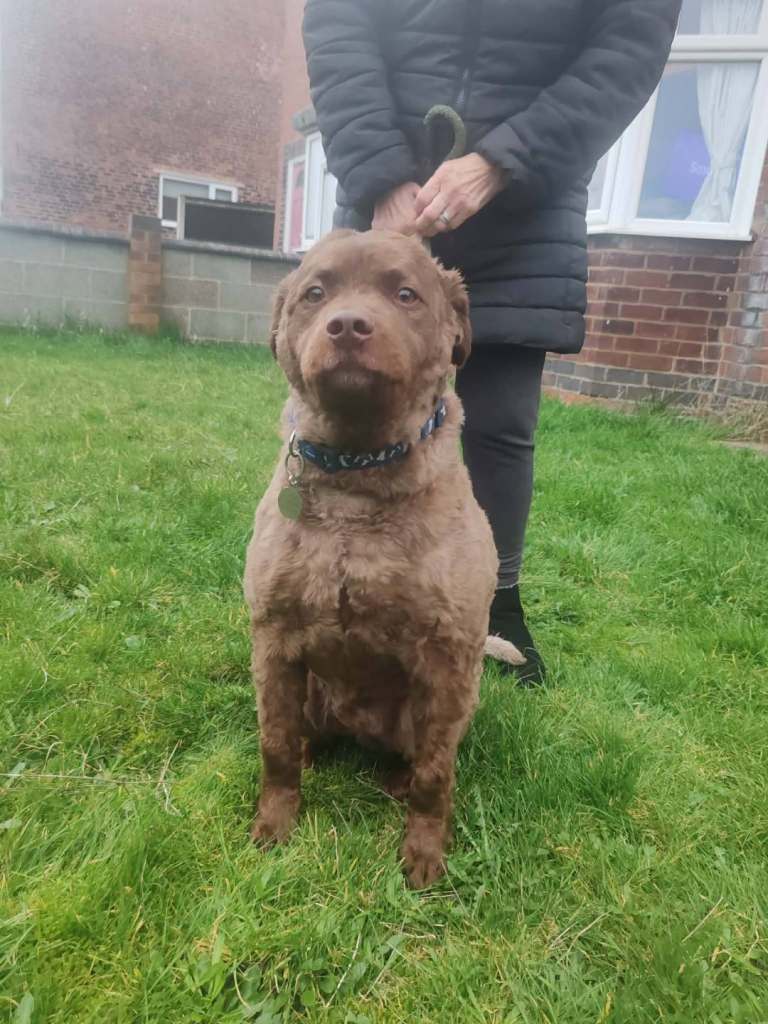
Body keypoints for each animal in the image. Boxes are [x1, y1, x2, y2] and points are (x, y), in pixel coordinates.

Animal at [244, 229, 522, 887]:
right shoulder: (272, 641)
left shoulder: (448, 659)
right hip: (312, 692)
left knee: (420, 756)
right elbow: (274, 745)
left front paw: (423, 853)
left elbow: (436, 775)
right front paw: (275, 824)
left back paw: (395, 778)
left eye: (405, 294)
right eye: (315, 293)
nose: (348, 325)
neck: (357, 479)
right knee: (300, 735)